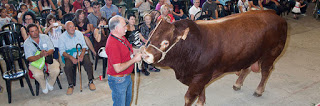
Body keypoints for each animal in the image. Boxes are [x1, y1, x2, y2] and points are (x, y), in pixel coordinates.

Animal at [142, 10, 288, 106]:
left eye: (165, 42)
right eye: (151, 33)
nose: (145, 54)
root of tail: (275, 15)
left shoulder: (201, 75)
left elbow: (189, 97)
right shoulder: (199, 77)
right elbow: (200, 92)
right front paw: (201, 102)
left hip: (270, 54)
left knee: (265, 72)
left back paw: (258, 90)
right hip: (249, 54)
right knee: (246, 69)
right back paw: (237, 84)